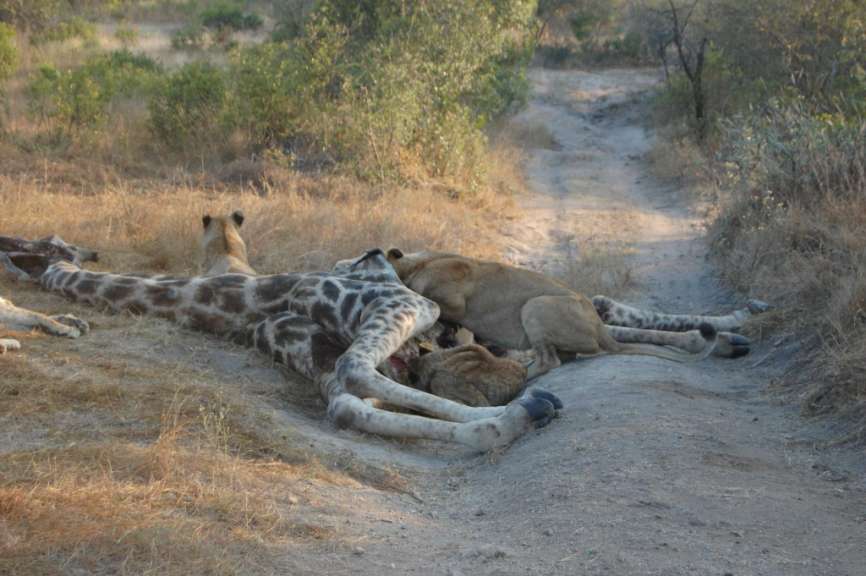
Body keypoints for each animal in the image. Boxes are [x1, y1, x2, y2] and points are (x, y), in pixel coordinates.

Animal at [38, 248, 561, 451]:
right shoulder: (406, 301)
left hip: (308, 349)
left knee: (346, 404)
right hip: (399, 309)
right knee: (355, 371)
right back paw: (525, 410)